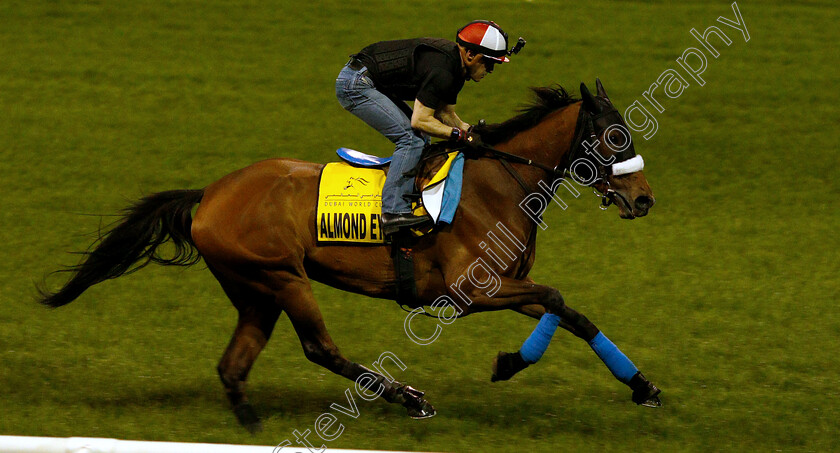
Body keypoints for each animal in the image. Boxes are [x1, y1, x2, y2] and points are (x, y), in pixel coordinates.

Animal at [37, 78, 656, 430]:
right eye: (615, 136)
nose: (644, 199)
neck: (498, 183)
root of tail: (210, 193)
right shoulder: (471, 291)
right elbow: (557, 297)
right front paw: (510, 363)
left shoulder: (507, 287)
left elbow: (571, 310)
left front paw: (642, 387)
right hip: (283, 277)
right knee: (319, 348)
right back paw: (409, 398)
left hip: (254, 290)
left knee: (234, 364)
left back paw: (250, 426)